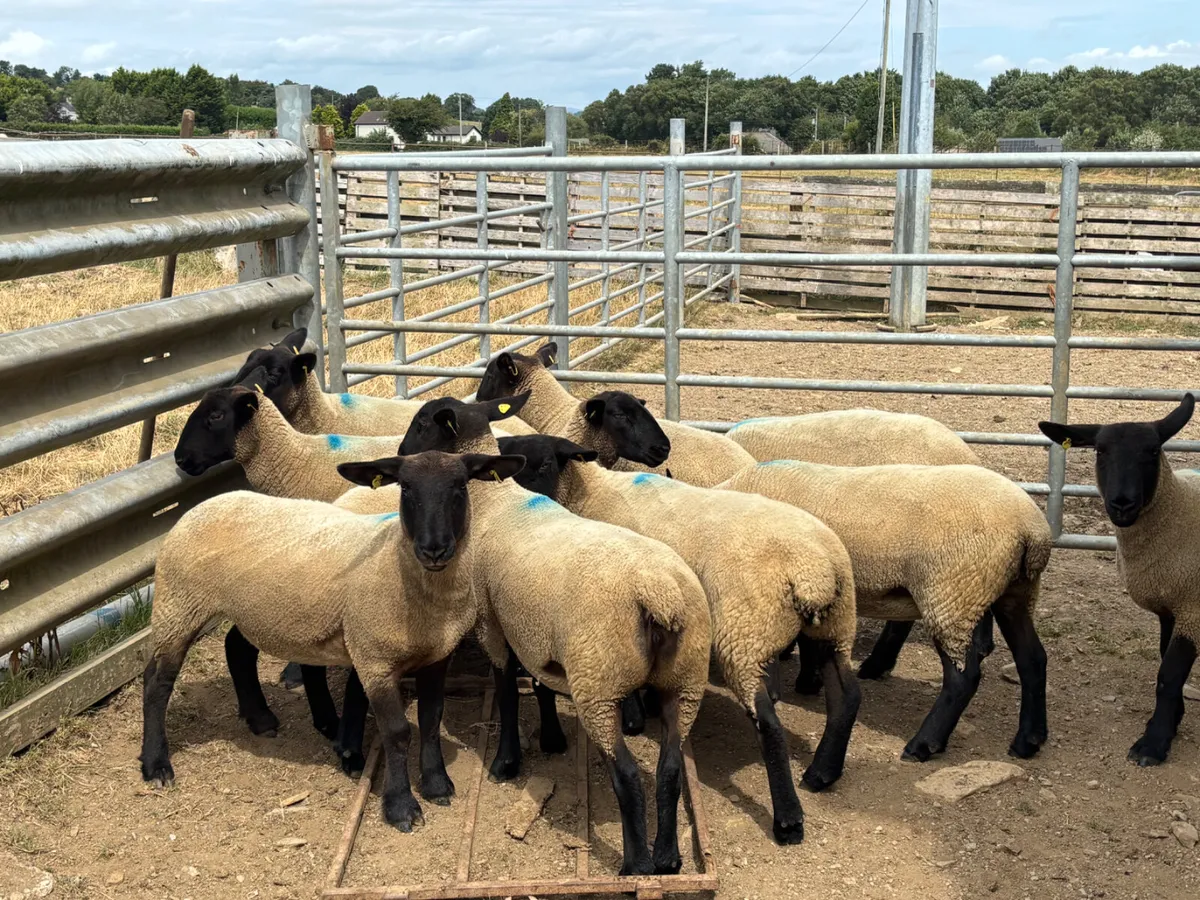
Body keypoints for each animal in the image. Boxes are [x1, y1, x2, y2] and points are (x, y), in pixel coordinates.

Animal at [141, 449, 527, 832]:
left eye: (461, 487)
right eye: (405, 488)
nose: (434, 549)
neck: (398, 563)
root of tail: (205, 504)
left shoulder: (436, 656)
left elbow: (431, 720)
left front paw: (436, 784)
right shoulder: (374, 660)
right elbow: (397, 732)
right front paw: (401, 807)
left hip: (251, 609)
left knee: (236, 649)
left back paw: (260, 718)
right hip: (178, 604)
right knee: (156, 681)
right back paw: (156, 764)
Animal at [339, 397, 713, 876]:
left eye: (422, 423)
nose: (400, 450)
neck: (495, 500)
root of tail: (659, 595)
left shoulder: (492, 622)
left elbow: (506, 689)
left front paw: (505, 761)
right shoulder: (532, 627)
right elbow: (537, 683)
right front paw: (550, 738)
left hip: (599, 682)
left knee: (627, 774)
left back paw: (637, 865)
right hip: (683, 683)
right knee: (669, 769)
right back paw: (667, 858)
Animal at [493, 431, 859, 846]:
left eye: (542, 465)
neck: (590, 494)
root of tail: (814, 570)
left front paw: (635, 717)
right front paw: (650, 706)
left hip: (745, 636)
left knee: (771, 725)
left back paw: (788, 818)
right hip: (834, 627)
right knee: (847, 696)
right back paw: (822, 773)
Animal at [716, 459, 1052, 763]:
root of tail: (1031, 528)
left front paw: (796, 683)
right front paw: (808, 680)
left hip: (951, 594)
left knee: (963, 678)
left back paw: (923, 744)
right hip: (1013, 592)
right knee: (1032, 659)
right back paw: (1029, 740)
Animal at [1039, 394, 1198, 766]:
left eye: (1153, 450)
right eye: (1100, 450)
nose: (1122, 504)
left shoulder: (1192, 606)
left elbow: (1170, 674)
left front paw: (1153, 744)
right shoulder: (1170, 606)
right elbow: (1165, 665)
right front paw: (1171, 721)